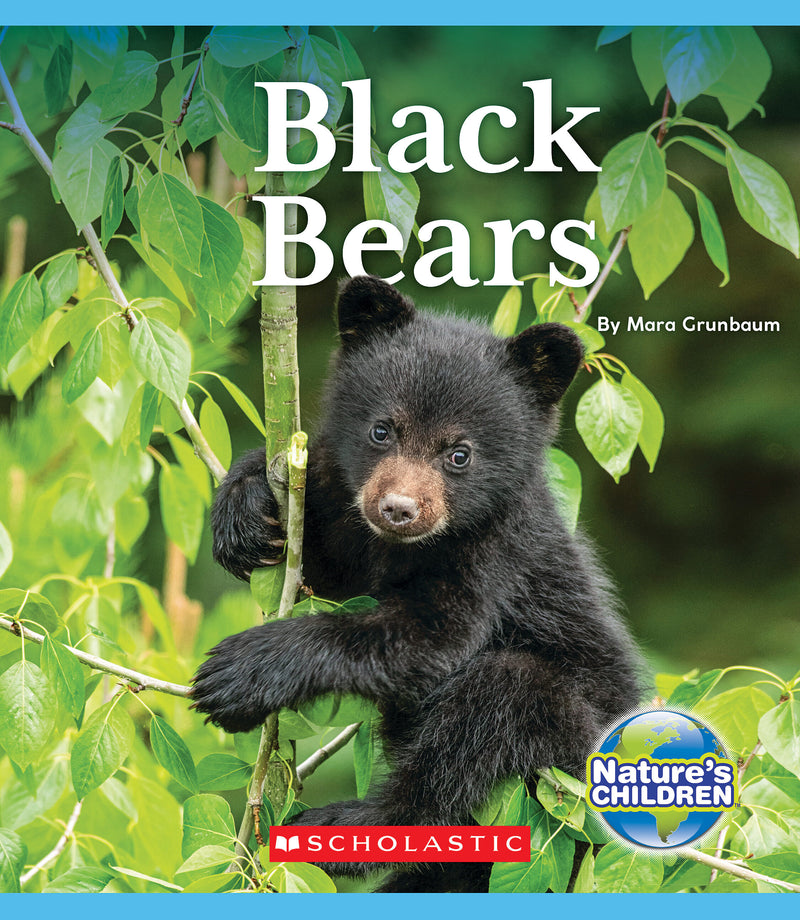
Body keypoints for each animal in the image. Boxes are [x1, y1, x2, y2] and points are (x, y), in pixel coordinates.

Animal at [191, 275, 644, 892]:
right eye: (382, 429)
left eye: (460, 453)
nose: (398, 508)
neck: (407, 547)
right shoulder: (354, 526)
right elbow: (325, 561)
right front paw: (244, 509)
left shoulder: (494, 553)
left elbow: (430, 637)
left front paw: (241, 673)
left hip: (577, 763)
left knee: (486, 714)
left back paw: (345, 829)